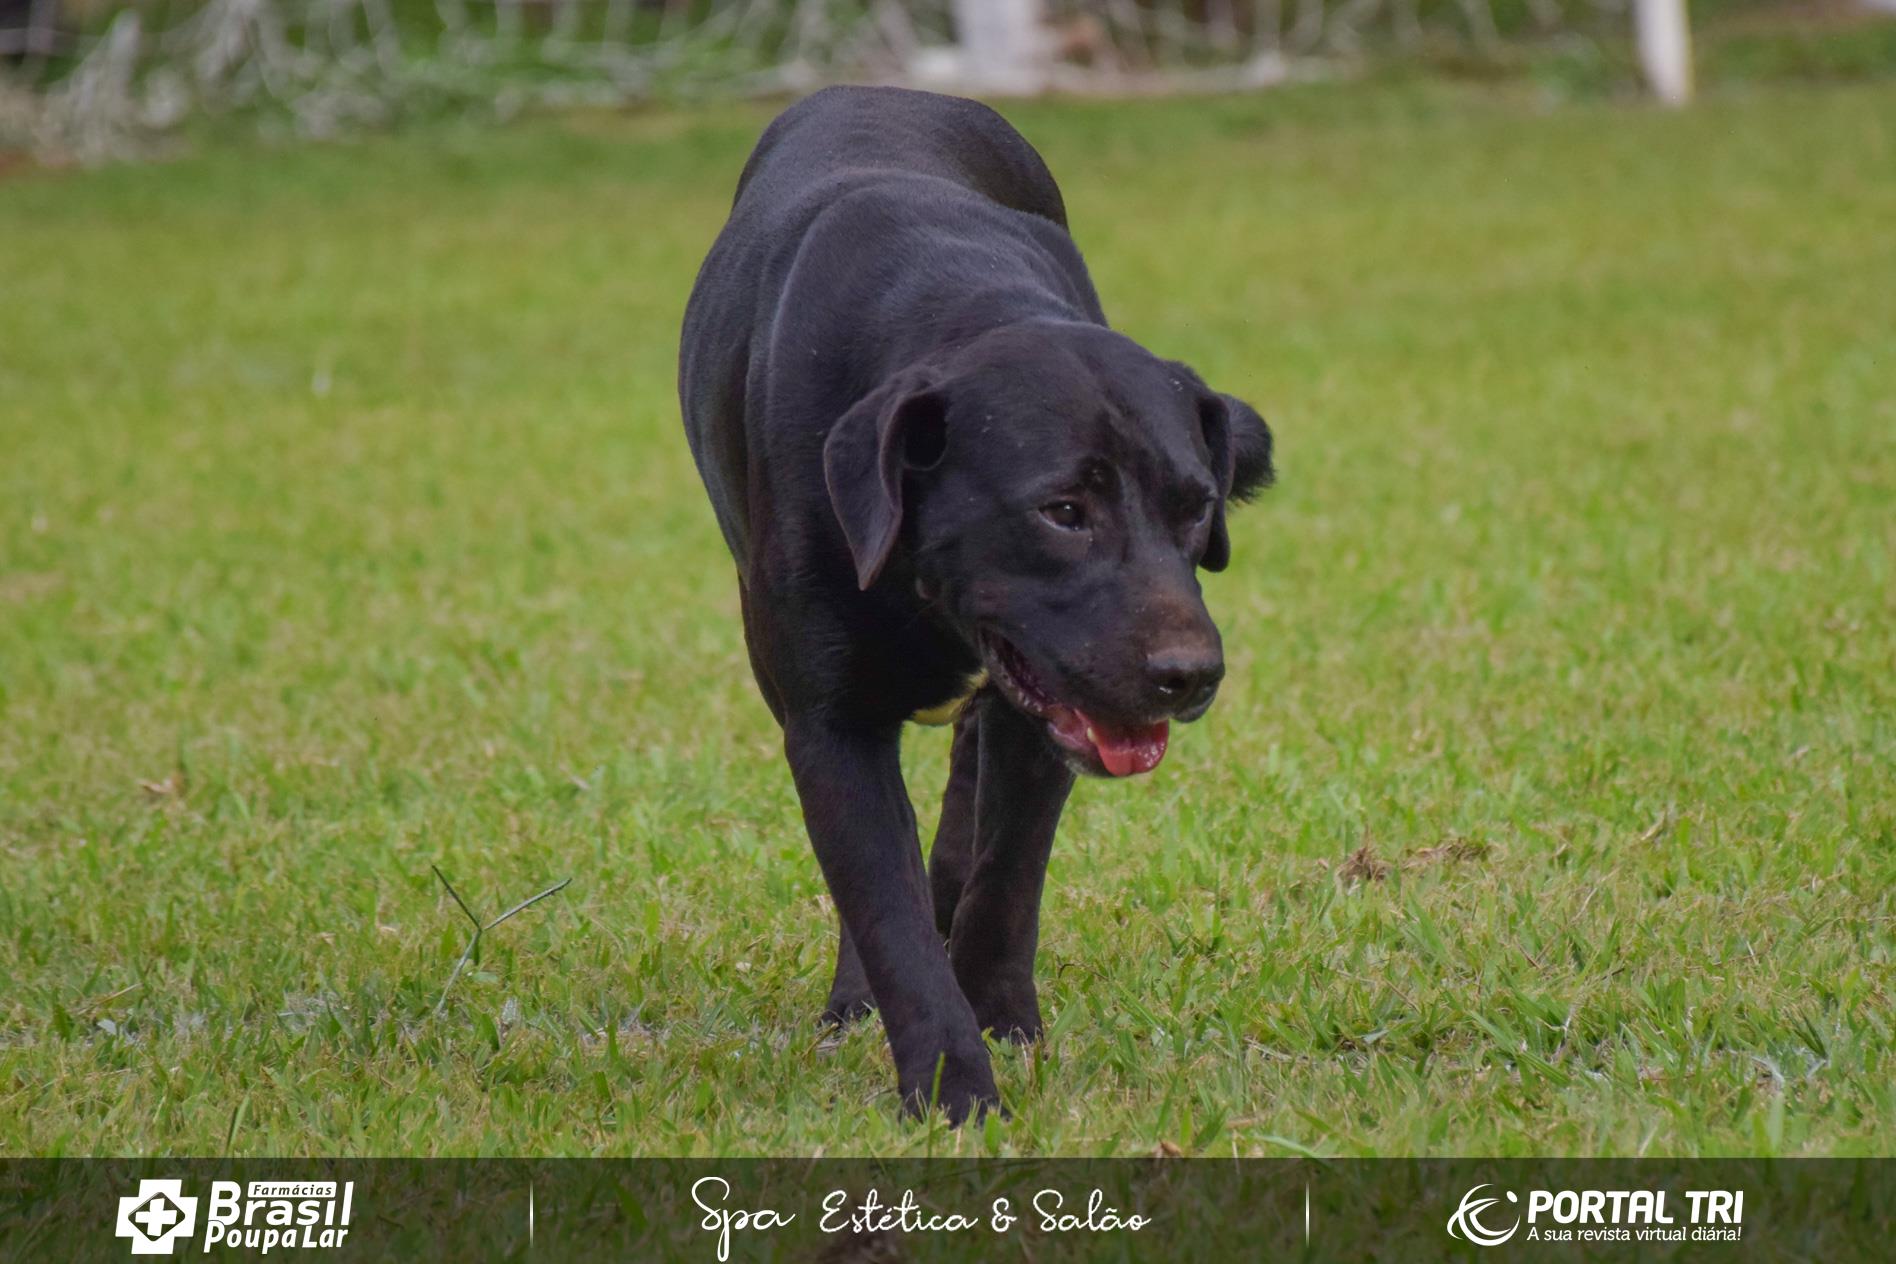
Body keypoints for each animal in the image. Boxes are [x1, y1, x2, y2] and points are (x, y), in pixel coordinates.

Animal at [679, 86, 1274, 1122]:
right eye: (1062, 511)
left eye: (1195, 506)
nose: (1191, 675)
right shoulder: (829, 725)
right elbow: (886, 911)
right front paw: (953, 1090)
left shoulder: (1048, 713)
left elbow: (1006, 877)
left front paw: (1005, 1025)